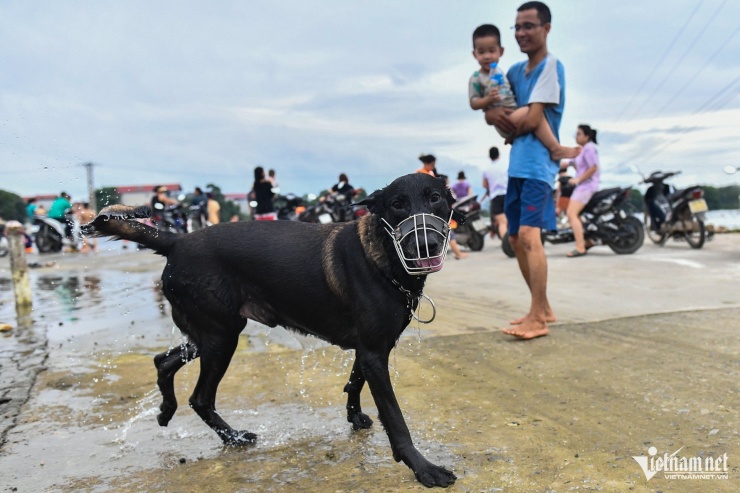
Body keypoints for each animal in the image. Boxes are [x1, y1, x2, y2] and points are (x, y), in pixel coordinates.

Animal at [85, 174, 456, 488]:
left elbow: (354, 381)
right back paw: (232, 437)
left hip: (207, 334)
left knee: (163, 361)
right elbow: (395, 417)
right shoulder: (375, 354)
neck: (384, 257)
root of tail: (176, 241)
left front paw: (355, 416)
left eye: (435, 198)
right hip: (222, 337)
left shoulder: (370, 349)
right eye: (397, 204)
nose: (426, 241)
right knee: (200, 397)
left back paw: (166, 410)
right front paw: (423, 468)